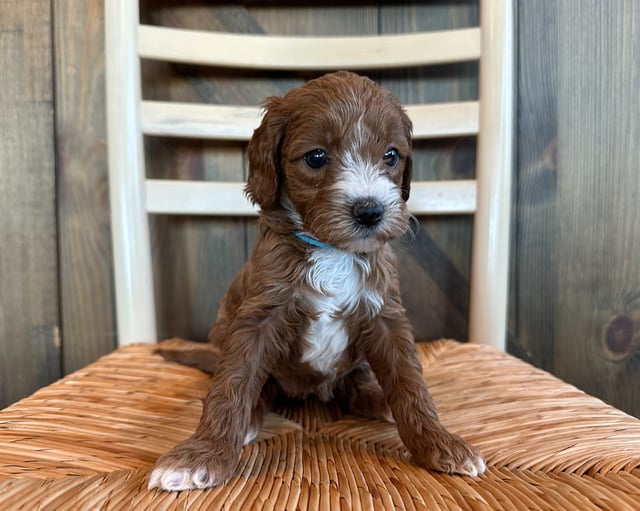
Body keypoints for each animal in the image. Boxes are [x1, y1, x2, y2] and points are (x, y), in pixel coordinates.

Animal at [148, 71, 482, 492]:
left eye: (391, 155)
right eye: (316, 157)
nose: (370, 211)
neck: (332, 250)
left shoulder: (385, 315)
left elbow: (410, 384)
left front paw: (438, 441)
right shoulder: (260, 315)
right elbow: (233, 382)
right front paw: (201, 454)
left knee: (356, 382)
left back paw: (376, 397)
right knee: (262, 386)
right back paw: (254, 414)